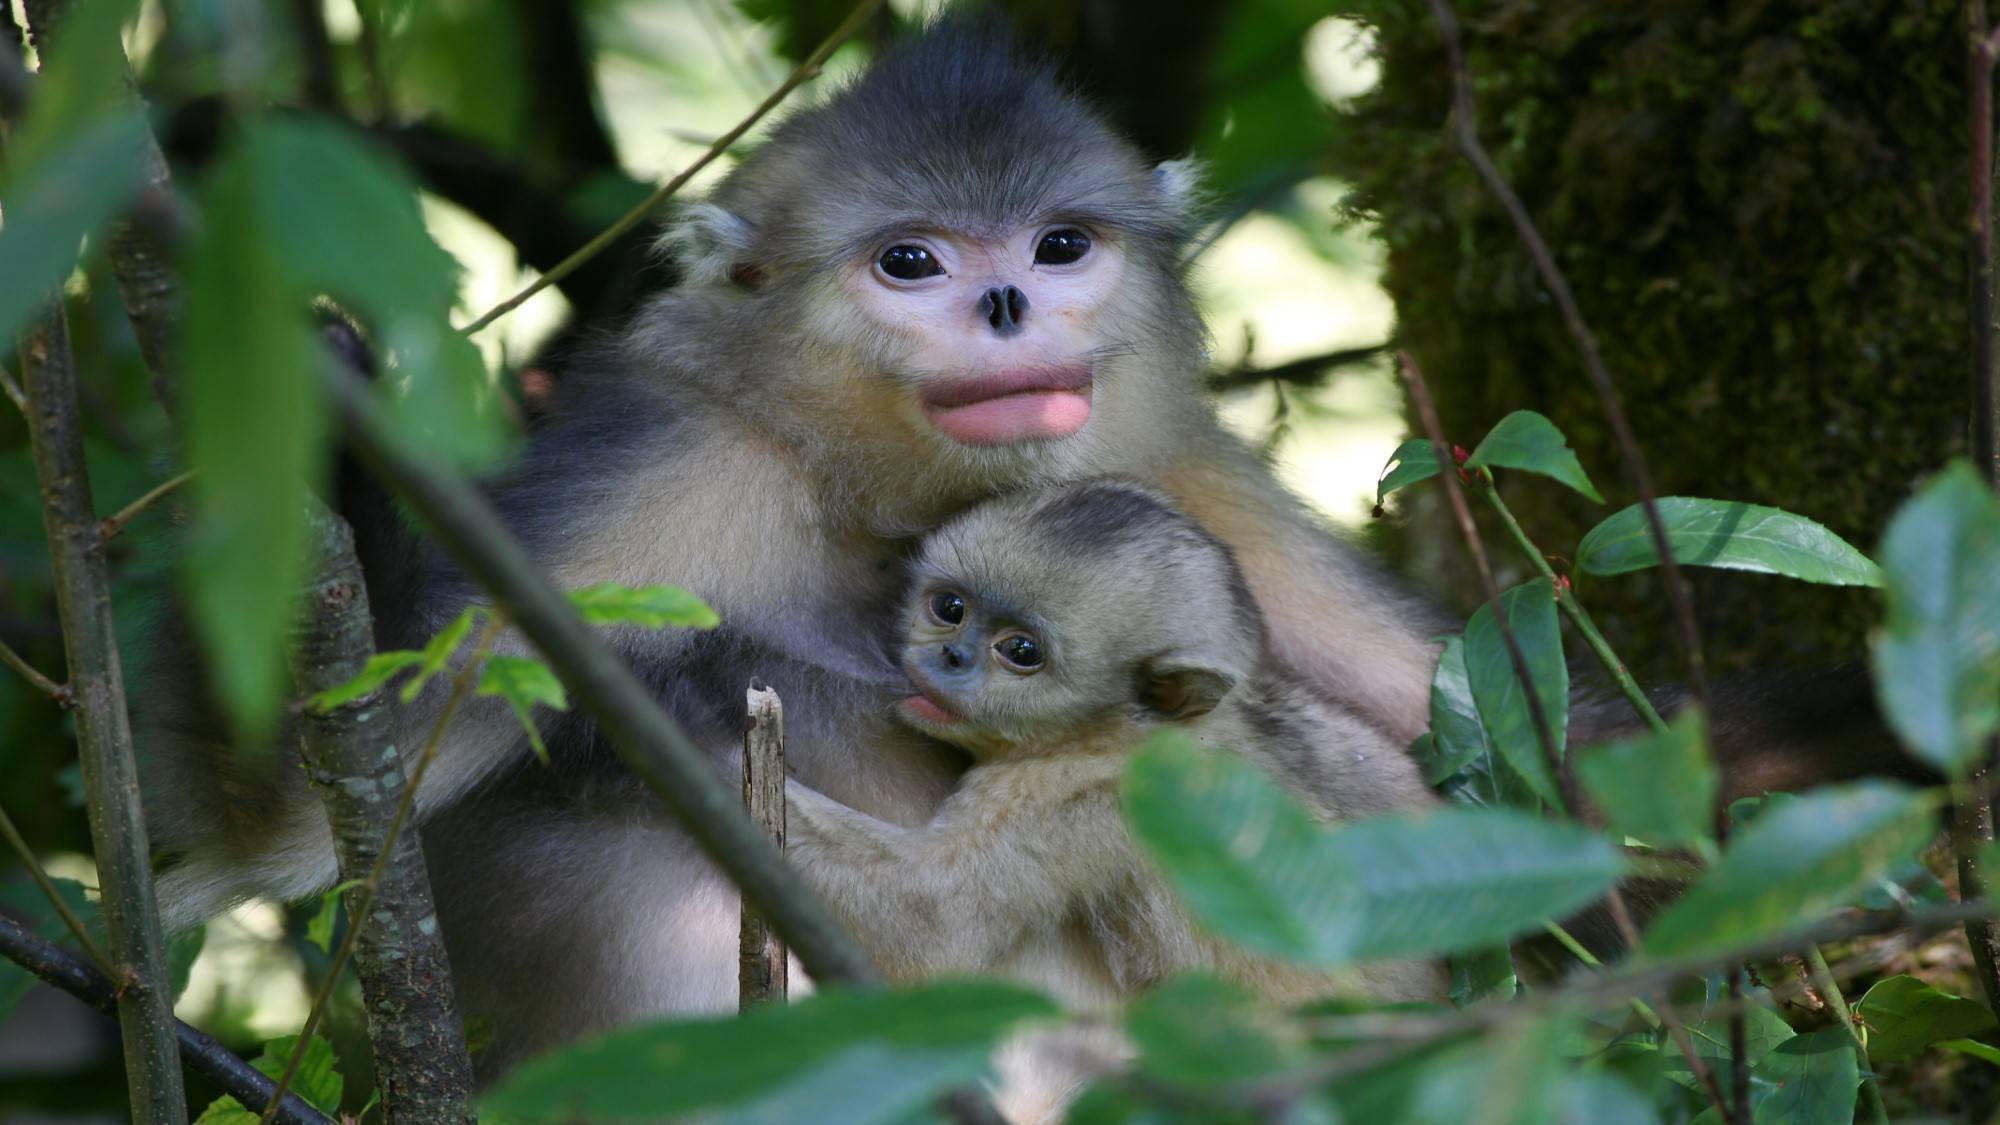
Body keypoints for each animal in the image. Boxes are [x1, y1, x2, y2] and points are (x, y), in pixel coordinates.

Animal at [780, 476, 1440, 1000]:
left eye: (1021, 652)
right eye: (950, 608)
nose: (950, 656)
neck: (1117, 732)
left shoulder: (1083, 804)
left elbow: (932, 923)